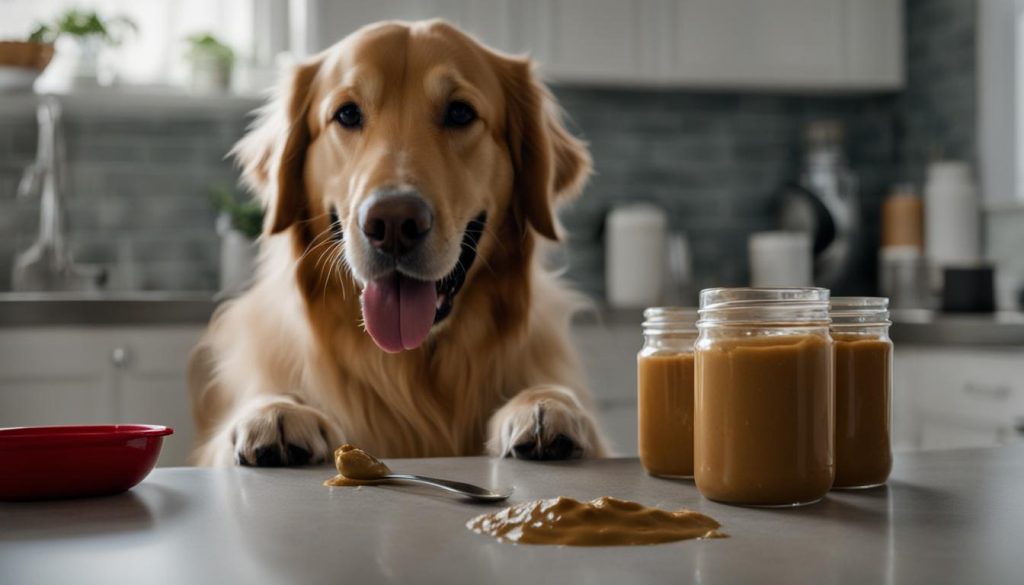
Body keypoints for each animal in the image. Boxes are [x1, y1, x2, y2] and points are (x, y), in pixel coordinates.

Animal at [188, 19, 606, 467]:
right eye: (347, 114)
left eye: (460, 112)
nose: (392, 223)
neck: (406, 366)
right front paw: (277, 410)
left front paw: (545, 403)